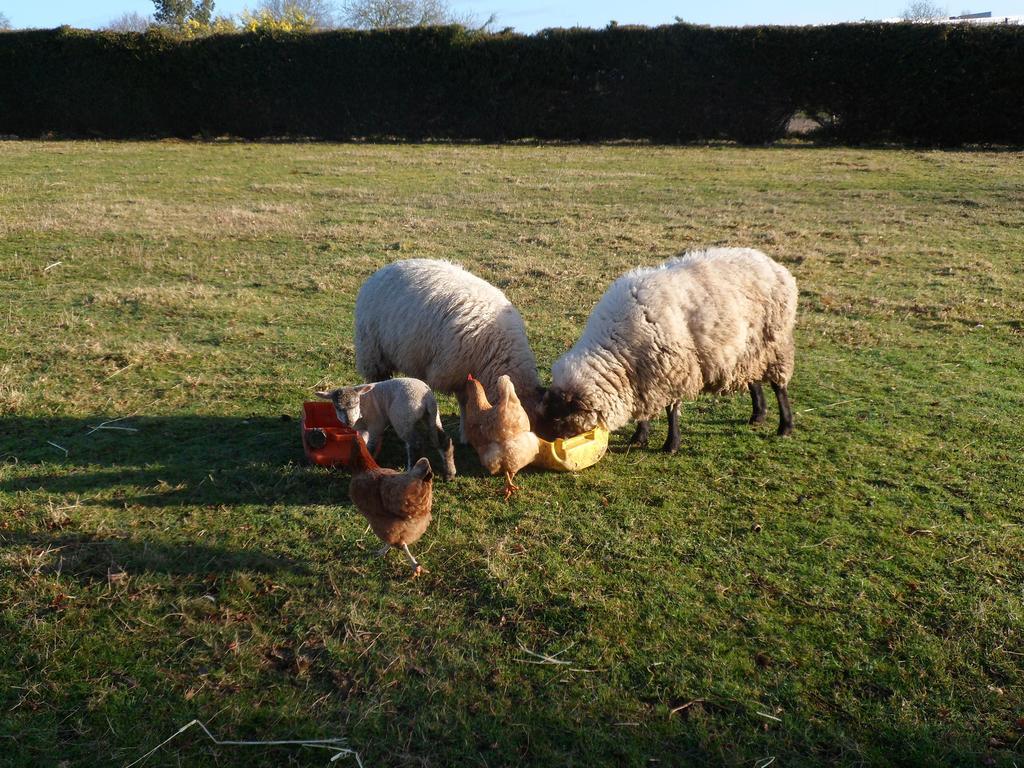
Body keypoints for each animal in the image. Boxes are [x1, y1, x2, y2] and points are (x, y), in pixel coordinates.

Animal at [313, 378, 454, 481]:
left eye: (356, 403)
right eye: (337, 407)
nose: (349, 421)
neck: (362, 409)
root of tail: (427, 399)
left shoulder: (376, 425)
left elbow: (371, 446)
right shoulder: (363, 429)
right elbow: (362, 443)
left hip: (402, 416)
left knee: (416, 443)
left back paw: (411, 471)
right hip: (432, 416)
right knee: (443, 440)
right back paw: (449, 473)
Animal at [352, 259, 544, 442]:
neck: (499, 350)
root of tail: (384, 269)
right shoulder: (457, 374)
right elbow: (465, 403)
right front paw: (466, 434)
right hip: (372, 352)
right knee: (376, 381)